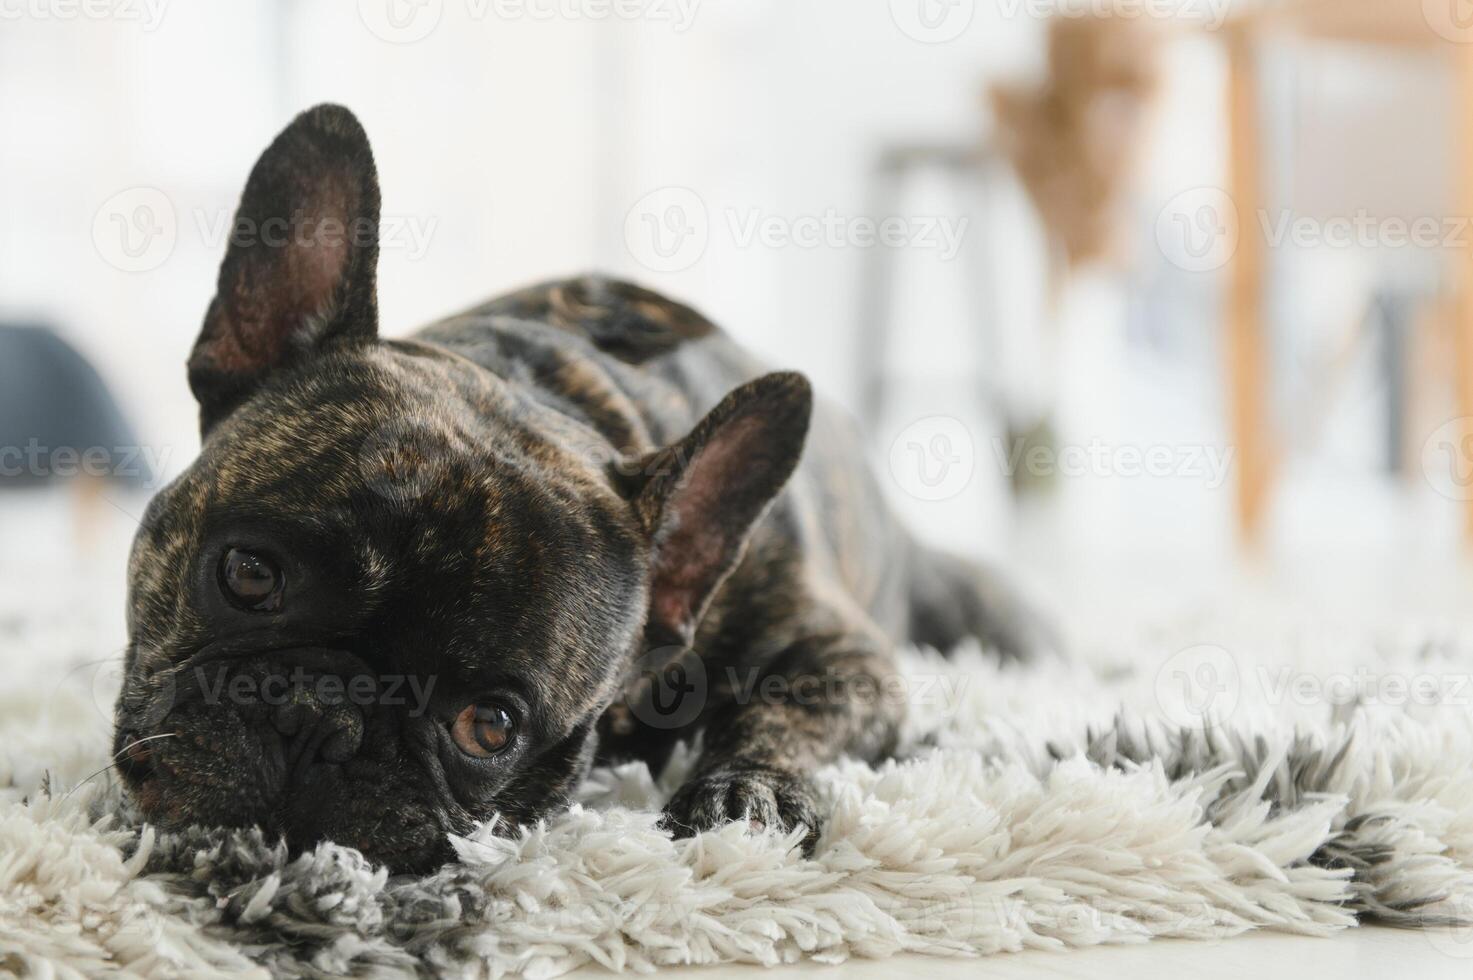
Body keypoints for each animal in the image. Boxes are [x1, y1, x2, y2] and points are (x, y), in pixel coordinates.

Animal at [114, 105, 1060, 872]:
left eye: (490, 726)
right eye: (248, 574)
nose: (319, 721)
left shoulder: (843, 655)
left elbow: (789, 713)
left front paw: (747, 790)